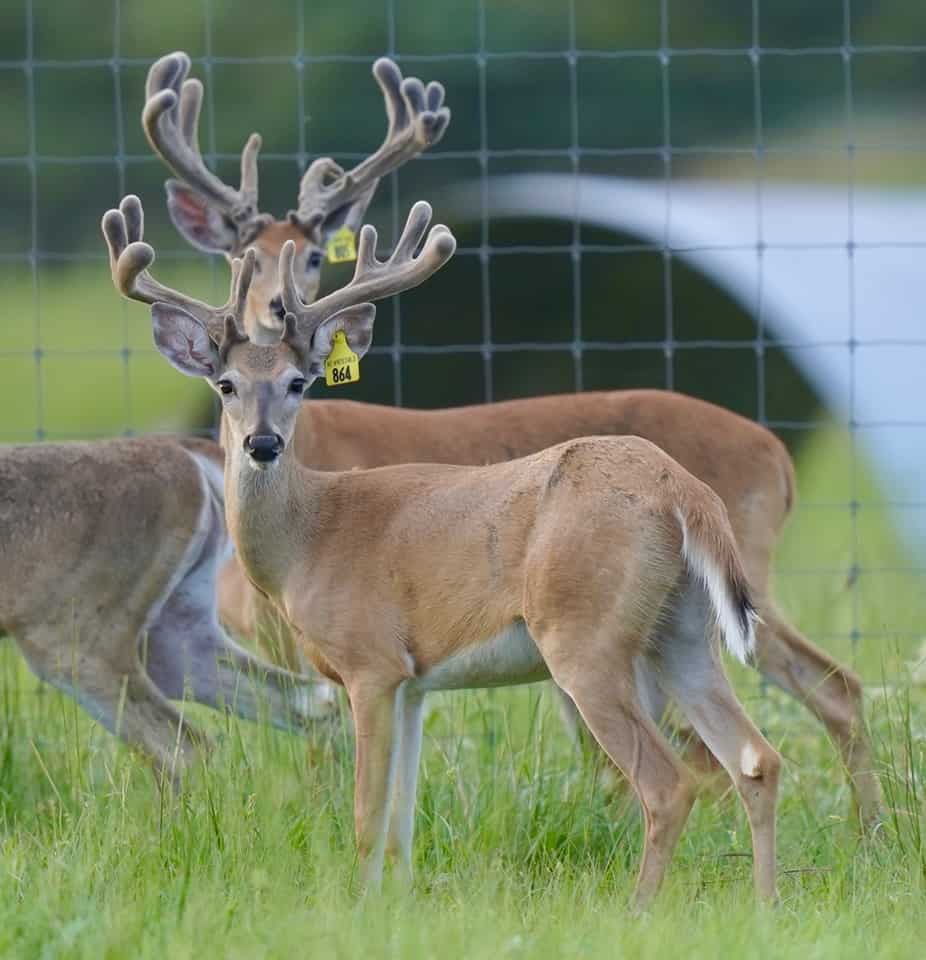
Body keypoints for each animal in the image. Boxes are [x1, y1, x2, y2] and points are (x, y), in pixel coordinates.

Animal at [103, 193, 781, 907]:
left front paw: (358, 904)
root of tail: (683, 491)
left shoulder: (370, 662)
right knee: (756, 759)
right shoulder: (414, 683)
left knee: (669, 782)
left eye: (298, 383)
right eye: (227, 384)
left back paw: (638, 911)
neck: (307, 538)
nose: (263, 444)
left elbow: (367, 813)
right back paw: (766, 906)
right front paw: (395, 902)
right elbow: (401, 820)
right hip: (682, 631)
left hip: (584, 634)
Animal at [142, 51, 880, 827]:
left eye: (314, 256)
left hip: (729, 584)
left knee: (820, 692)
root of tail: (775, 453)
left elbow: (333, 756)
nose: (277, 314)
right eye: (237, 256)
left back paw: (869, 831)